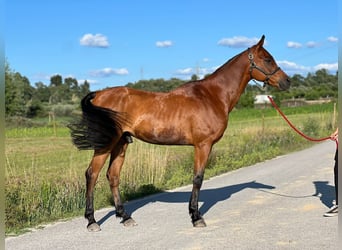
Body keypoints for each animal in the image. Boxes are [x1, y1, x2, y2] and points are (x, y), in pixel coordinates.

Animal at [68, 34, 290, 230]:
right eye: (267, 59)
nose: (287, 81)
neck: (212, 96)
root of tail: (99, 93)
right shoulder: (203, 145)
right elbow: (198, 178)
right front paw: (196, 217)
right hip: (106, 145)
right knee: (92, 174)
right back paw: (92, 221)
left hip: (121, 143)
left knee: (112, 176)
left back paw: (125, 217)